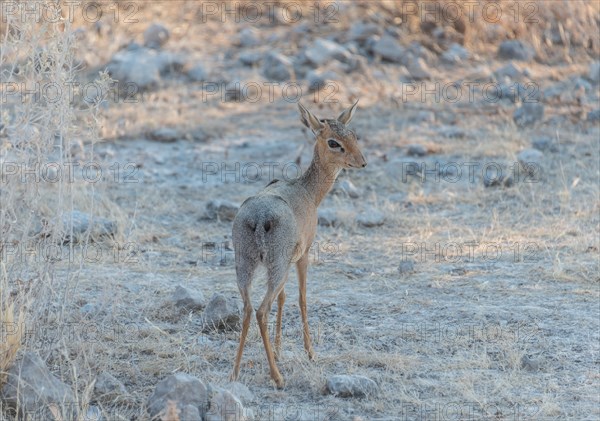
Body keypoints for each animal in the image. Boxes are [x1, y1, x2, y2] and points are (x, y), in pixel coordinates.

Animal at [230, 99, 366, 388]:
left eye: (353, 134)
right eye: (333, 142)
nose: (361, 162)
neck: (308, 192)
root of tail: (260, 217)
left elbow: (283, 297)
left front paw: (279, 350)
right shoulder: (304, 255)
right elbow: (302, 298)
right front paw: (310, 352)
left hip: (247, 265)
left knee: (248, 307)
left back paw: (235, 371)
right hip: (276, 266)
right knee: (261, 310)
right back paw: (277, 377)